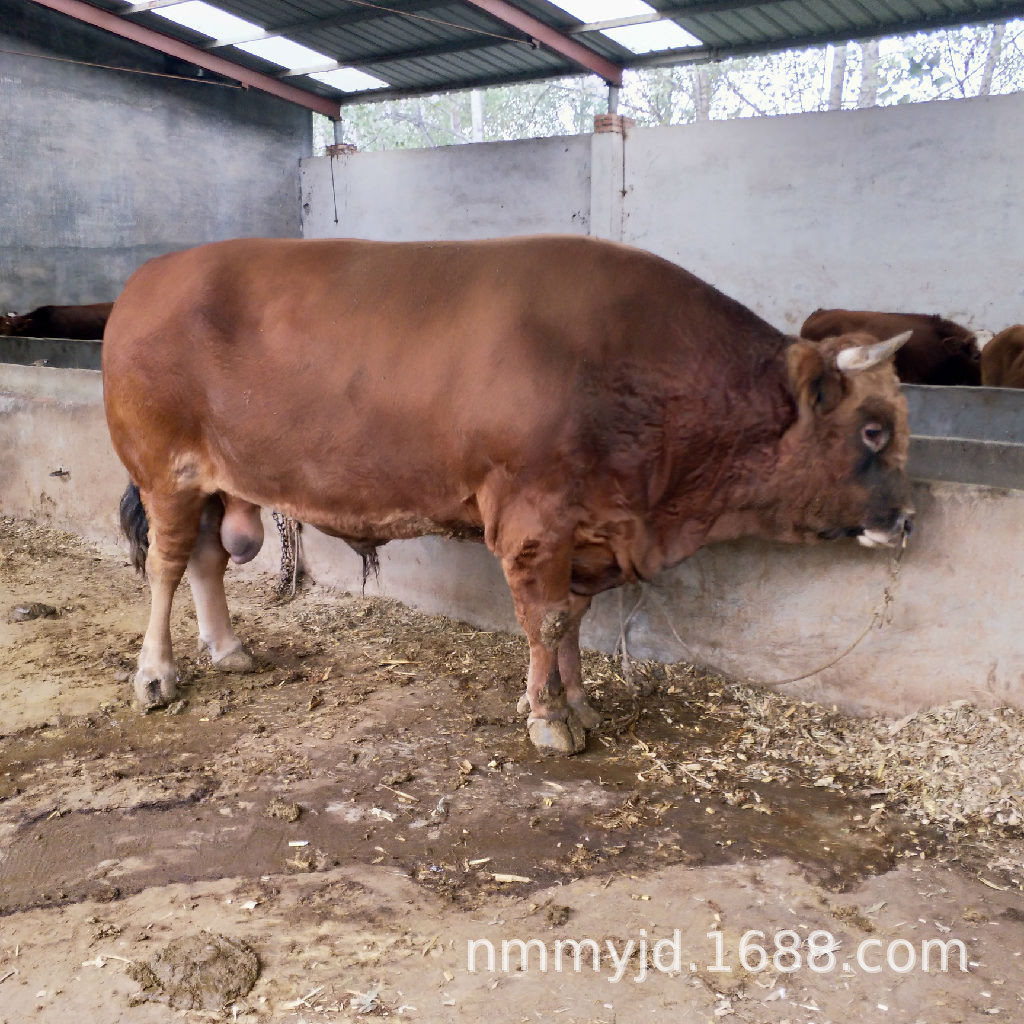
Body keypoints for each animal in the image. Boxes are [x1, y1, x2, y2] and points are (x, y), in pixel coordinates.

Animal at [103, 237, 917, 753]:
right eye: (873, 430)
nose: (909, 519)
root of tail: (150, 277)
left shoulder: (585, 532)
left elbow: (574, 621)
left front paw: (578, 701)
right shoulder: (534, 521)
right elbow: (547, 620)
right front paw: (550, 718)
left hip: (213, 482)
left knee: (207, 560)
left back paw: (229, 649)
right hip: (166, 472)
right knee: (167, 566)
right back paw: (157, 674)